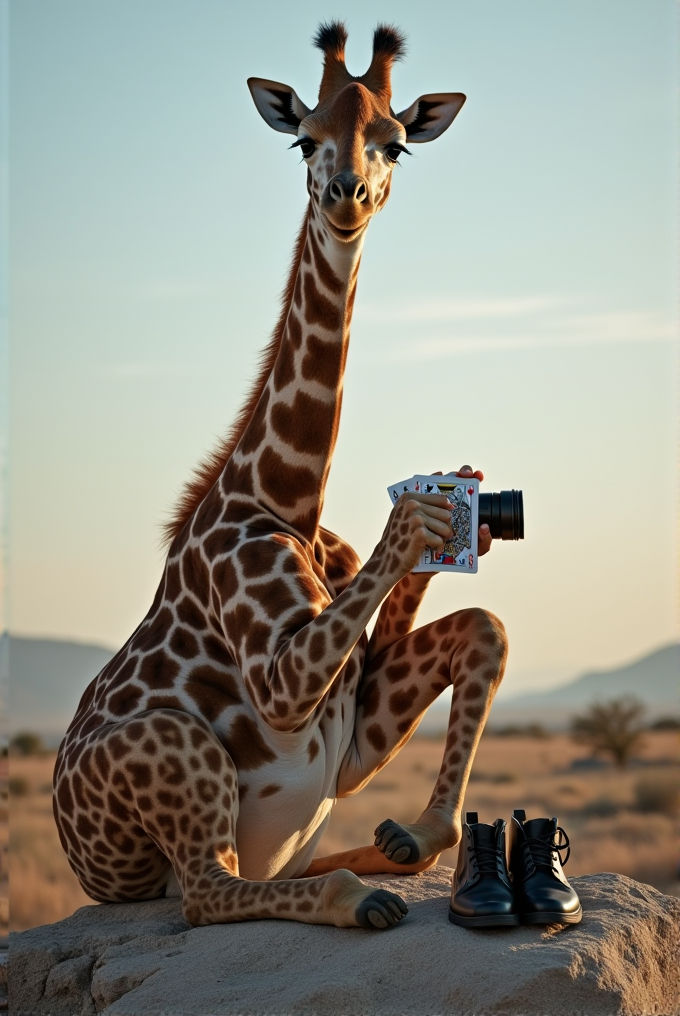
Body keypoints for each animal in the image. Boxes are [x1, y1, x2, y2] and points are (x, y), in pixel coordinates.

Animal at [53, 21, 506, 930]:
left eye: (396, 144)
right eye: (304, 136)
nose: (346, 195)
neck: (287, 498)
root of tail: (79, 863)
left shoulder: (349, 743)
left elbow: (484, 624)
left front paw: (423, 831)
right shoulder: (282, 685)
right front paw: (417, 522)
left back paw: (381, 860)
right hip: (170, 758)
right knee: (204, 891)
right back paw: (356, 897)